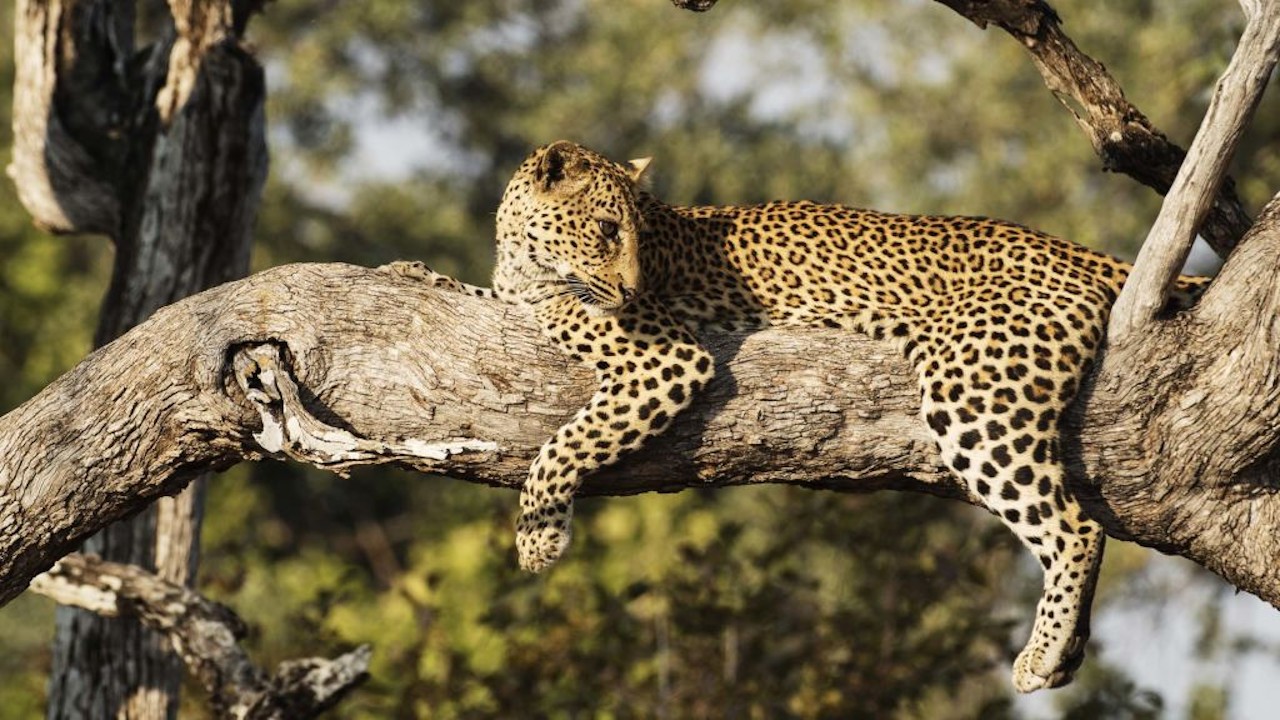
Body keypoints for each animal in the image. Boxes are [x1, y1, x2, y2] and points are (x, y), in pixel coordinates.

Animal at [413, 140, 1208, 693]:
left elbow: (568, 439)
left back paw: (1041, 655)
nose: (635, 286)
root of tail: (1076, 251)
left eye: (636, 233)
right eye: (608, 228)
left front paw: (538, 537)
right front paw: (411, 271)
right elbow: (461, 293)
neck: (524, 263)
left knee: (1074, 526)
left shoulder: (669, 359)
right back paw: (1066, 655)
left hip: (971, 389)